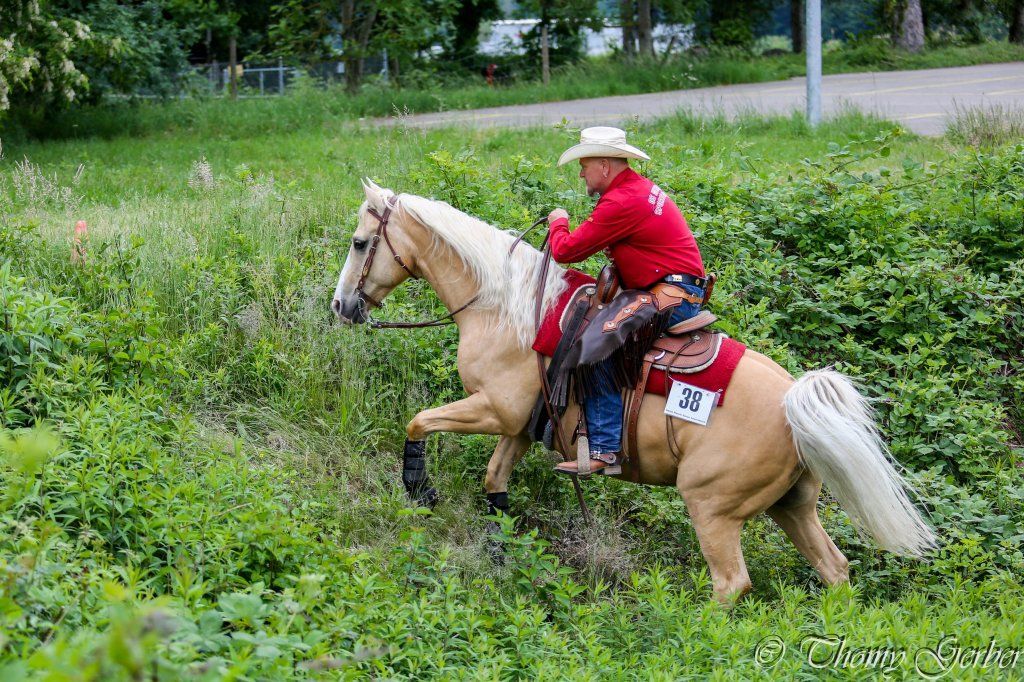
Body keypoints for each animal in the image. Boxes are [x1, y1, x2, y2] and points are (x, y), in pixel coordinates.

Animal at [331, 179, 937, 605]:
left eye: (360, 243)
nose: (342, 305)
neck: (504, 306)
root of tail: (793, 404)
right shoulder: (520, 425)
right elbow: (494, 482)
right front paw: (503, 548)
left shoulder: (493, 410)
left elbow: (418, 420)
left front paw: (419, 489)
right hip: (792, 506)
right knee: (834, 569)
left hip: (712, 507)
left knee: (732, 583)